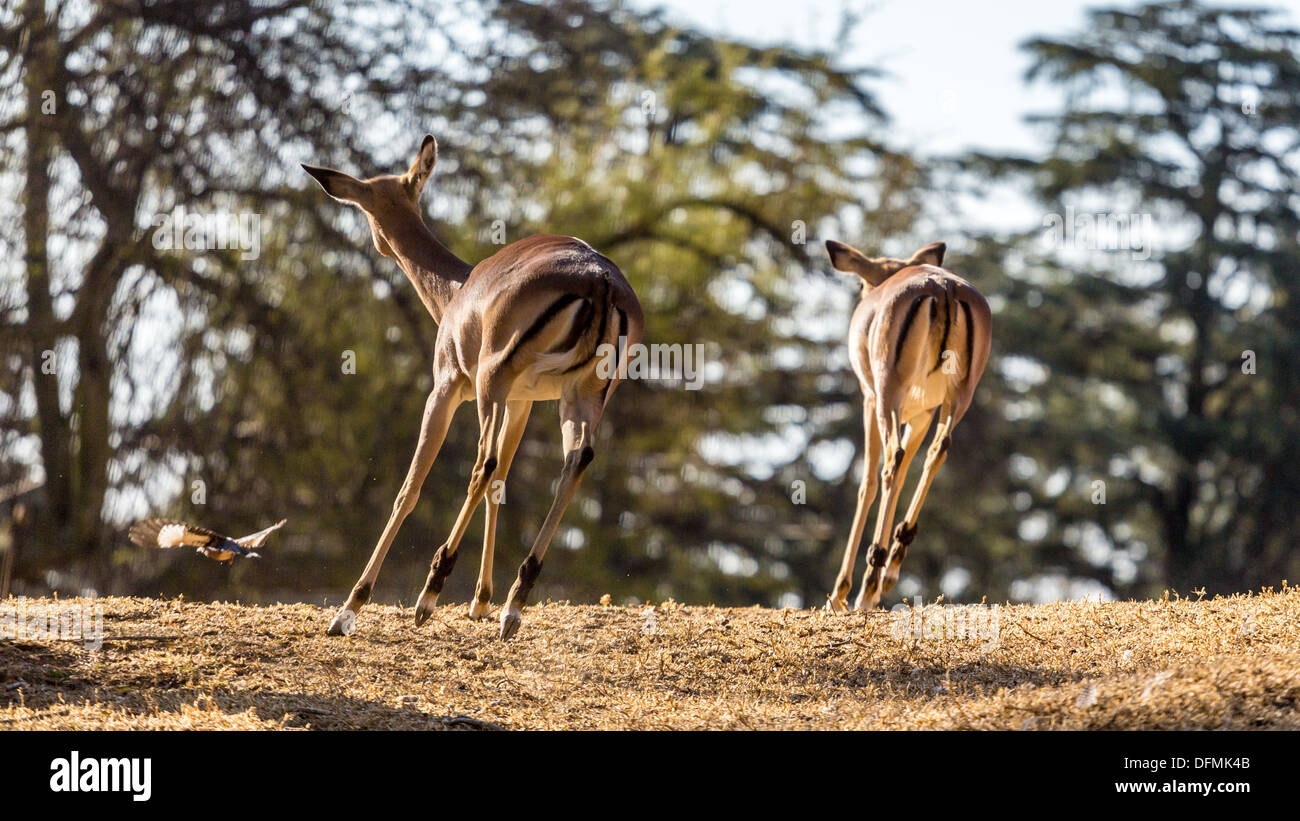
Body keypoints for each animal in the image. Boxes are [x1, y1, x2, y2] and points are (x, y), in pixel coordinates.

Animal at [309, 136, 644, 641]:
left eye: (367, 205)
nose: (379, 245)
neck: (456, 290)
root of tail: (598, 279)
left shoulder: (446, 388)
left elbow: (410, 488)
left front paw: (349, 608)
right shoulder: (524, 401)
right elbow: (502, 483)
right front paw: (481, 601)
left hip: (491, 384)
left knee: (481, 464)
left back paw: (429, 594)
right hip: (580, 396)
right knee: (575, 461)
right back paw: (512, 605)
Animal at [826, 237, 987, 610]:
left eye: (860, 284)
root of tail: (942, 288)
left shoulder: (871, 401)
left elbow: (868, 484)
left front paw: (839, 593)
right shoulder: (922, 414)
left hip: (889, 396)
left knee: (891, 463)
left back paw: (869, 582)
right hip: (956, 399)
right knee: (938, 451)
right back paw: (891, 565)